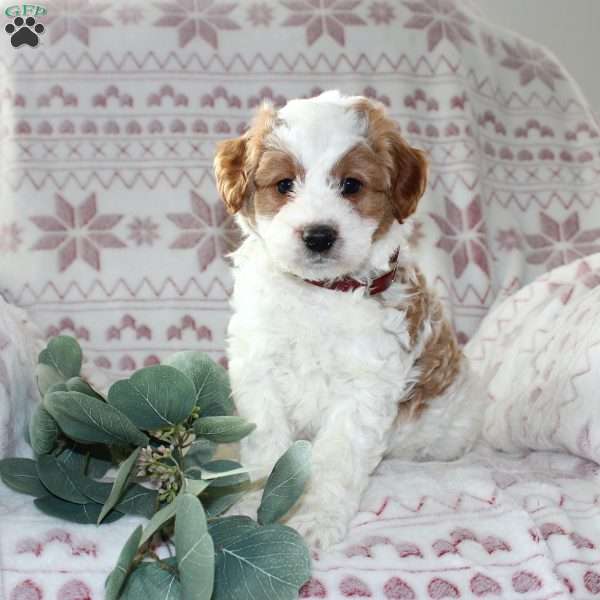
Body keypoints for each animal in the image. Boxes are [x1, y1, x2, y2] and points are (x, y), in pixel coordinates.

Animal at [213, 90, 480, 548]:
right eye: (284, 185)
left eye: (351, 185)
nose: (319, 235)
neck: (320, 292)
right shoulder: (259, 370)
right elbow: (266, 447)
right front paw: (253, 504)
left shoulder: (363, 388)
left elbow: (336, 459)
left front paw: (317, 518)